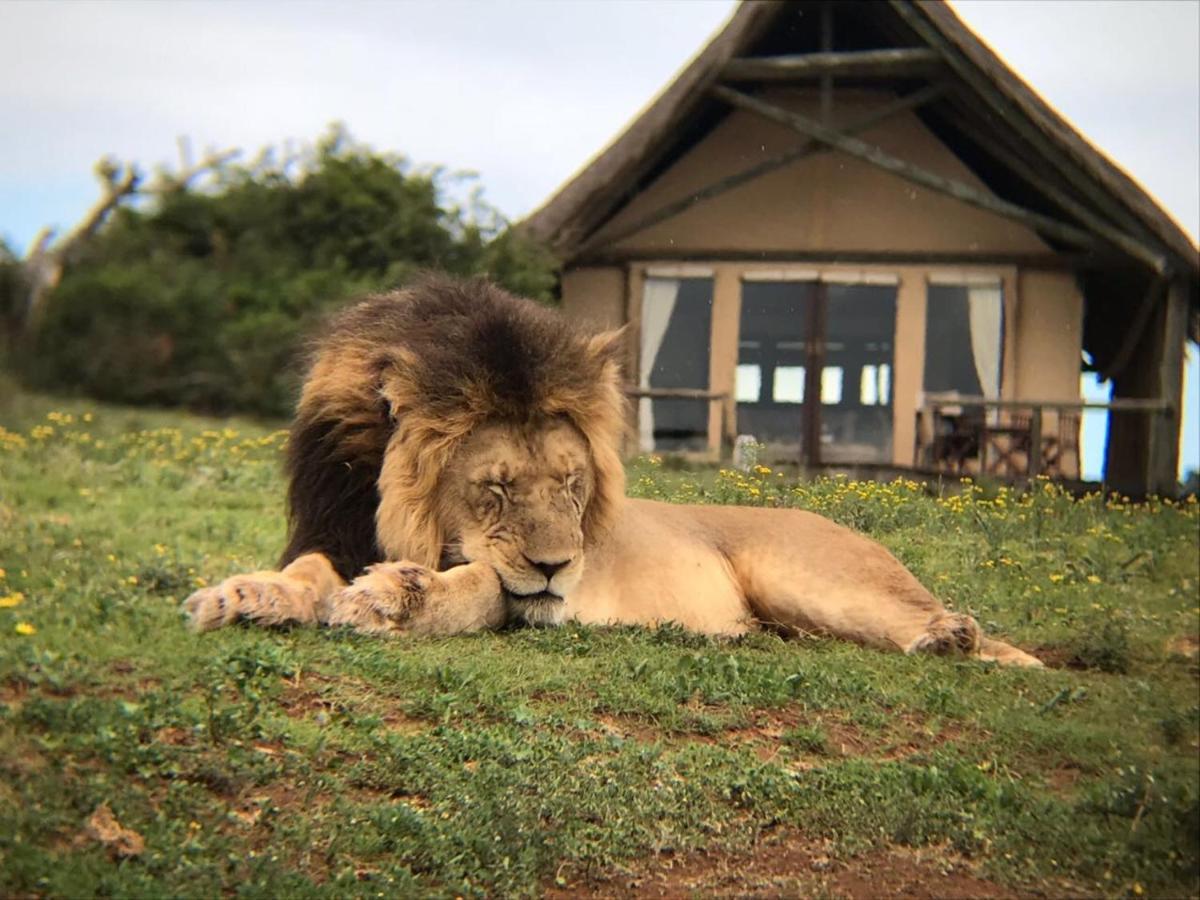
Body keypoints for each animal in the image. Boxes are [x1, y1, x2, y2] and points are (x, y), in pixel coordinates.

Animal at [182, 277, 1046, 672]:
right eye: (495, 489)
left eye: (572, 485)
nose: (561, 566)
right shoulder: (334, 525)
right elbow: (304, 569)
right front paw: (246, 594)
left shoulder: (519, 598)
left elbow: (480, 586)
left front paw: (396, 597)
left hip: (814, 580)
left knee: (980, 640)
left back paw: (949, 637)